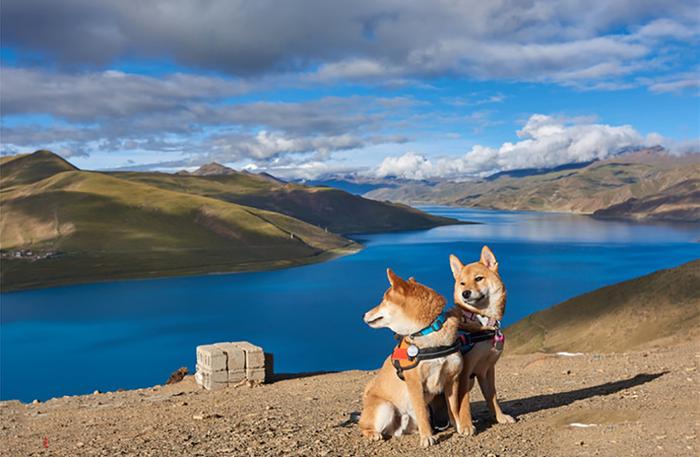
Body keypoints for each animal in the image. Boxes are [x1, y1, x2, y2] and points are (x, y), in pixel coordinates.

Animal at [360, 268, 464, 446]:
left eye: (383, 301)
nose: (363, 314)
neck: (428, 331)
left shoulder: (452, 378)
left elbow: (454, 408)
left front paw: (462, 427)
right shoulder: (414, 383)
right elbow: (421, 412)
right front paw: (427, 437)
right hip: (385, 408)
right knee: (363, 427)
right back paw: (373, 434)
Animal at [448, 246, 516, 434]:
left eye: (478, 278)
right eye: (462, 283)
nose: (465, 293)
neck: (482, 321)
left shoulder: (486, 369)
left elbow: (492, 396)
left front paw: (500, 417)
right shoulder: (464, 372)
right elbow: (463, 402)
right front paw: (465, 425)